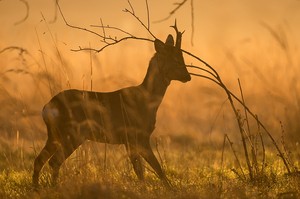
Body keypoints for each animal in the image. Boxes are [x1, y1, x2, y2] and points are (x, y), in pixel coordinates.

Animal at [32, 24, 191, 187]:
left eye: (182, 57)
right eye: (174, 59)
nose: (188, 76)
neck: (146, 101)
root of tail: (47, 107)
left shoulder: (133, 138)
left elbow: (142, 169)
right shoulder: (134, 134)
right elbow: (153, 168)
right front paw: (165, 188)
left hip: (56, 134)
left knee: (40, 160)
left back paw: (37, 187)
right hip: (72, 132)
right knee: (54, 161)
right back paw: (52, 186)